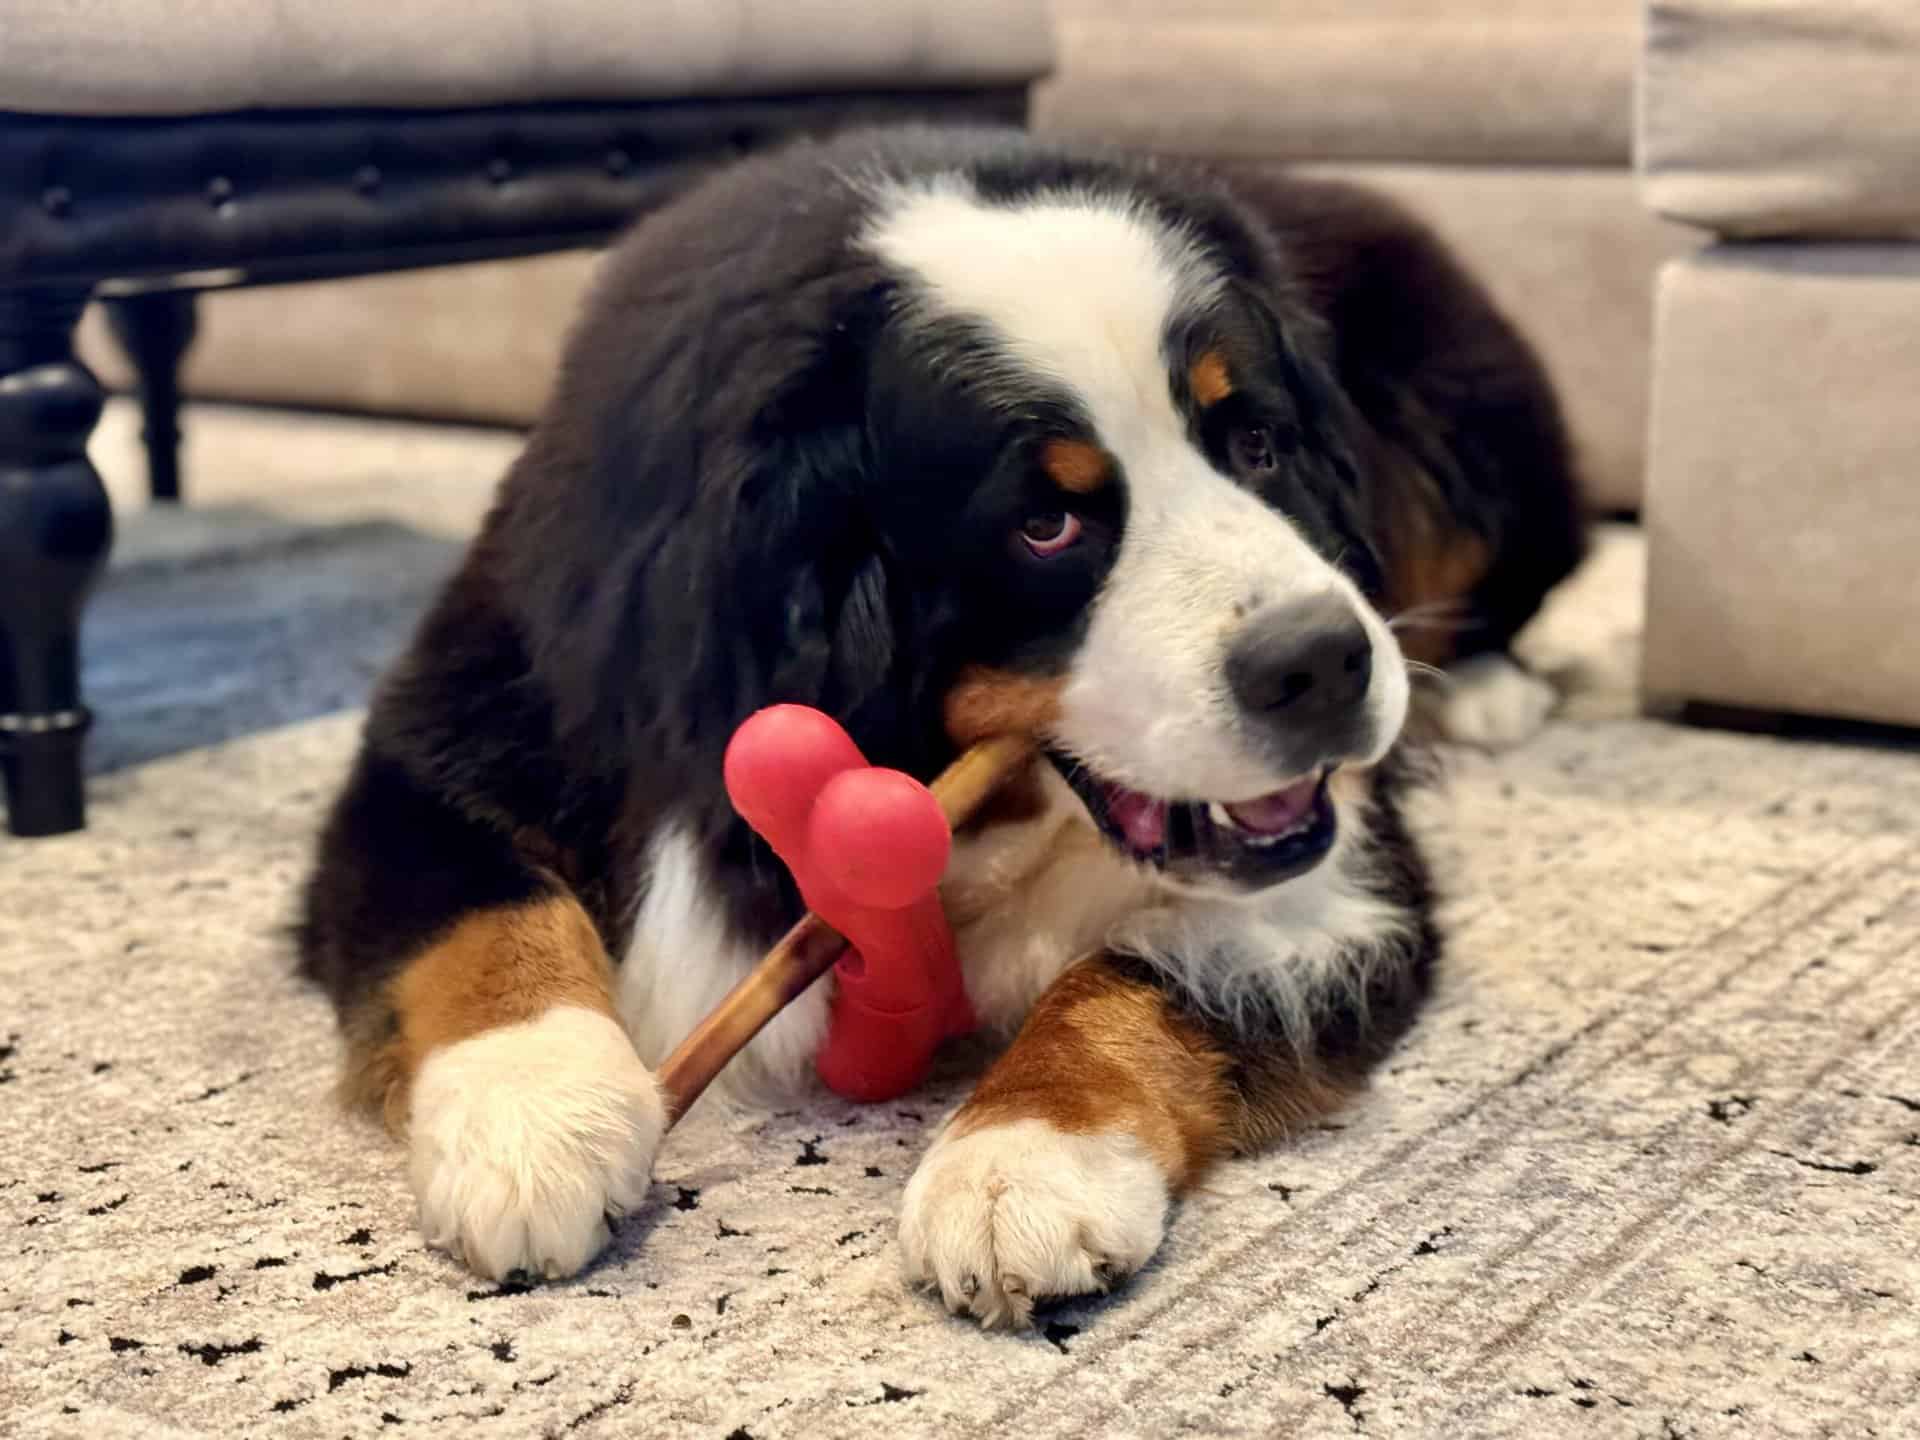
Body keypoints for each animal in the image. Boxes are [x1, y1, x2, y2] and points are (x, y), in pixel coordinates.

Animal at [299, 126, 1582, 1328]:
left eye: (1258, 444)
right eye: (1046, 524)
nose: (1322, 661)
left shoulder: (1341, 870)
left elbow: (1148, 967)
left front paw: (1027, 1157)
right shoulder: (464, 715)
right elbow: (479, 908)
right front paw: (536, 1114)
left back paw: (1485, 686)